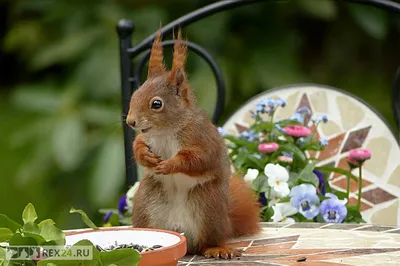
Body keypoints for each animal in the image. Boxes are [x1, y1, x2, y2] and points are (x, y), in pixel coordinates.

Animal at [126, 28, 260, 258]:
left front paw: (170, 165)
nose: (130, 121)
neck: (166, 130)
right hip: (146, 205)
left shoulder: (202, 138)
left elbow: (198, 159)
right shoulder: (145, 137)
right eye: (135, 94)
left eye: (156, 104)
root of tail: (183, 235)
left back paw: (216, 248)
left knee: (207, 242)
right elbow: (138, 146)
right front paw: (146, 156)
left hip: (209, 209)